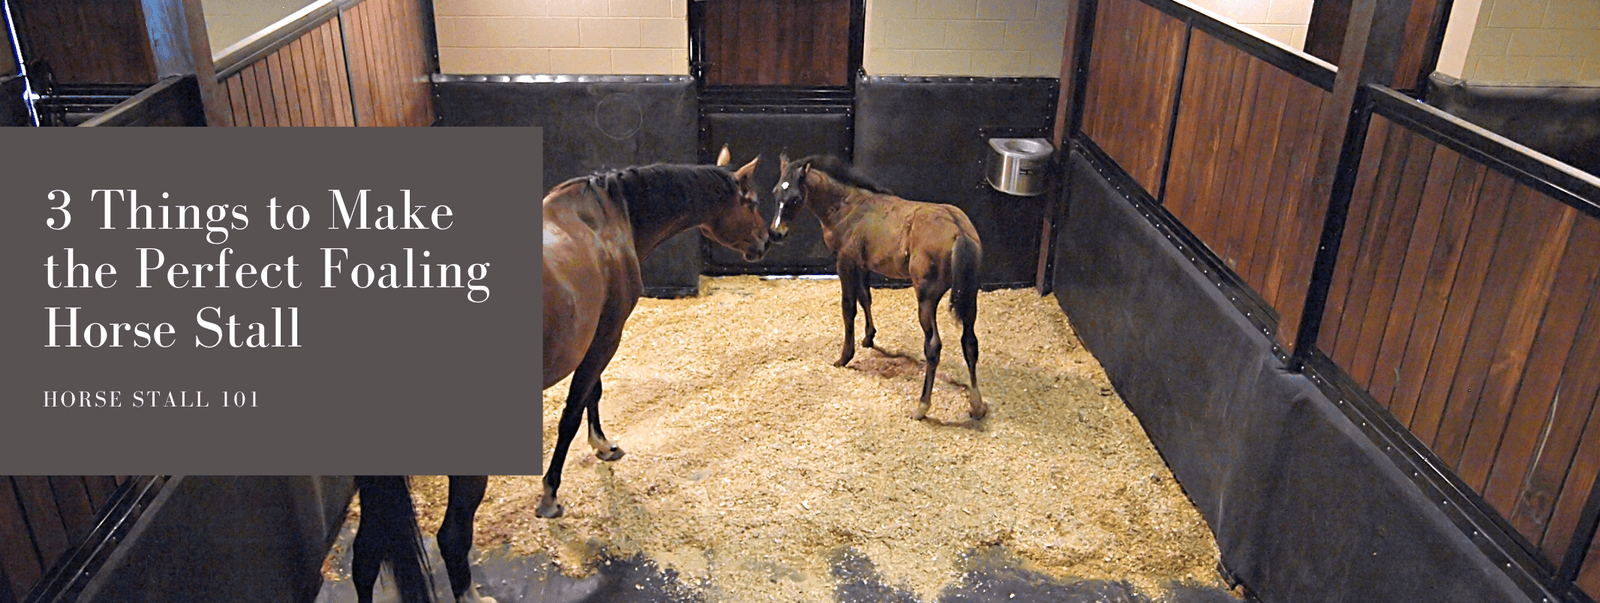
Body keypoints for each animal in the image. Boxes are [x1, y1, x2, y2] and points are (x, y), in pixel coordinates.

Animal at [351, 147, 769, 603]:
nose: (766, 241)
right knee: (451, 537)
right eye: (750, 201)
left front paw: (603, 446)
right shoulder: (606, 338)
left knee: (364, 556)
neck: (609, 217)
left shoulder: (598, 337)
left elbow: (592, 396)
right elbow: (573, 411)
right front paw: (551, 495)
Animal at [770, 154, 986, 422]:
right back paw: (976, 405)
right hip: (970, 294)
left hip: (927, 296)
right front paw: (869, 337)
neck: (847, 207)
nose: (776, 233)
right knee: (970, 342)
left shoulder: (845, 262)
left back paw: (922, 406)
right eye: (775, 192)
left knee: (933, 346)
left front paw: (844, 357)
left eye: (795, 198)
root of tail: (958, 230)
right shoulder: (863, 265)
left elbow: (848, 308)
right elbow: (866, 298)